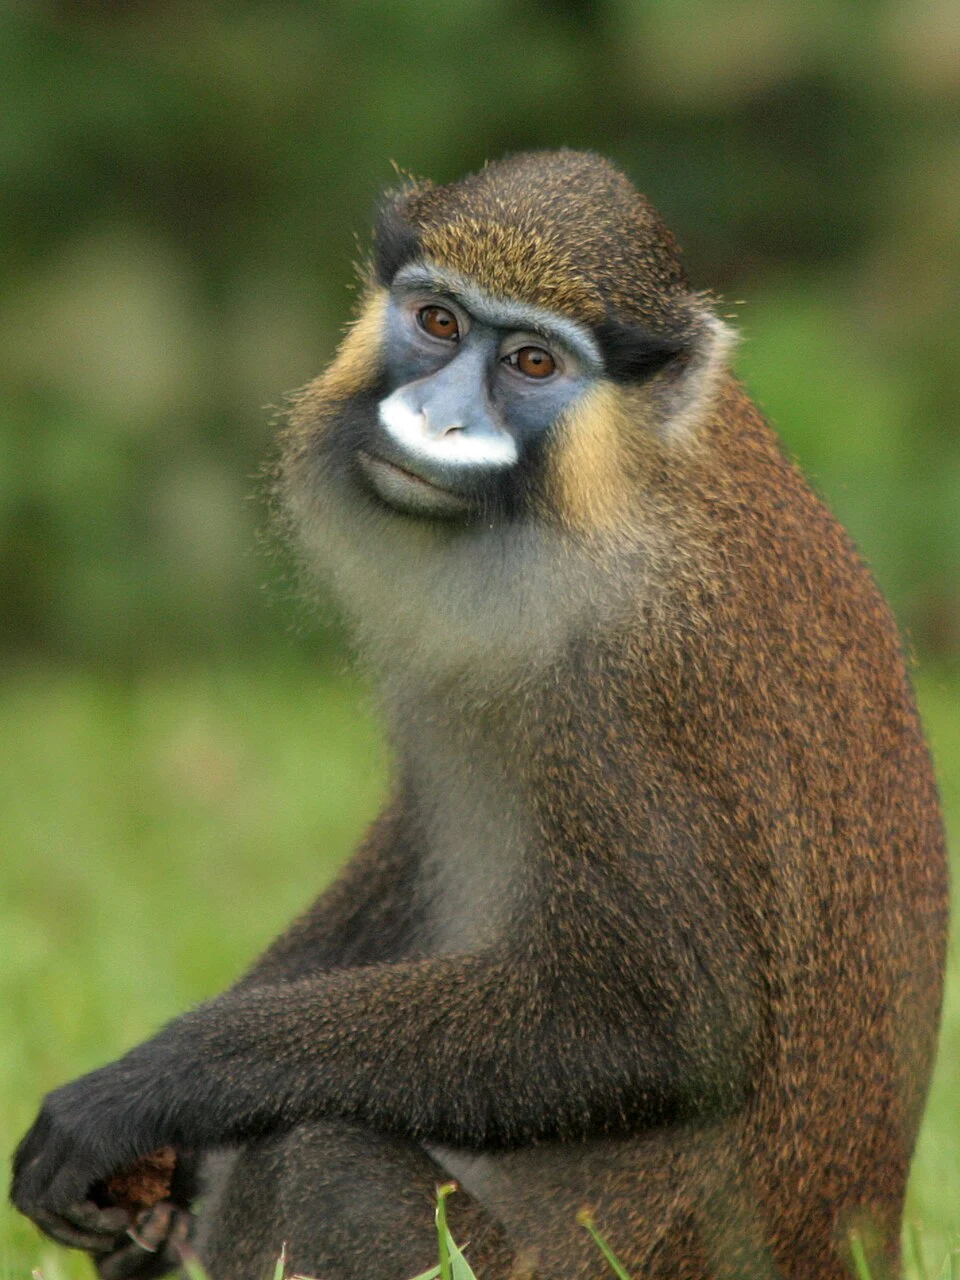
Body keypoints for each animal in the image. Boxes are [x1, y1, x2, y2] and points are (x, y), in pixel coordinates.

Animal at [11, 150, 948, 1280]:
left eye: (534, 363)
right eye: (439, 321)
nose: (438, 419)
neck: (614, 481)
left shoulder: (622, 689)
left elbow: (665, 1025)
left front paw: (149, 1089)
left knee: (317, 1158)